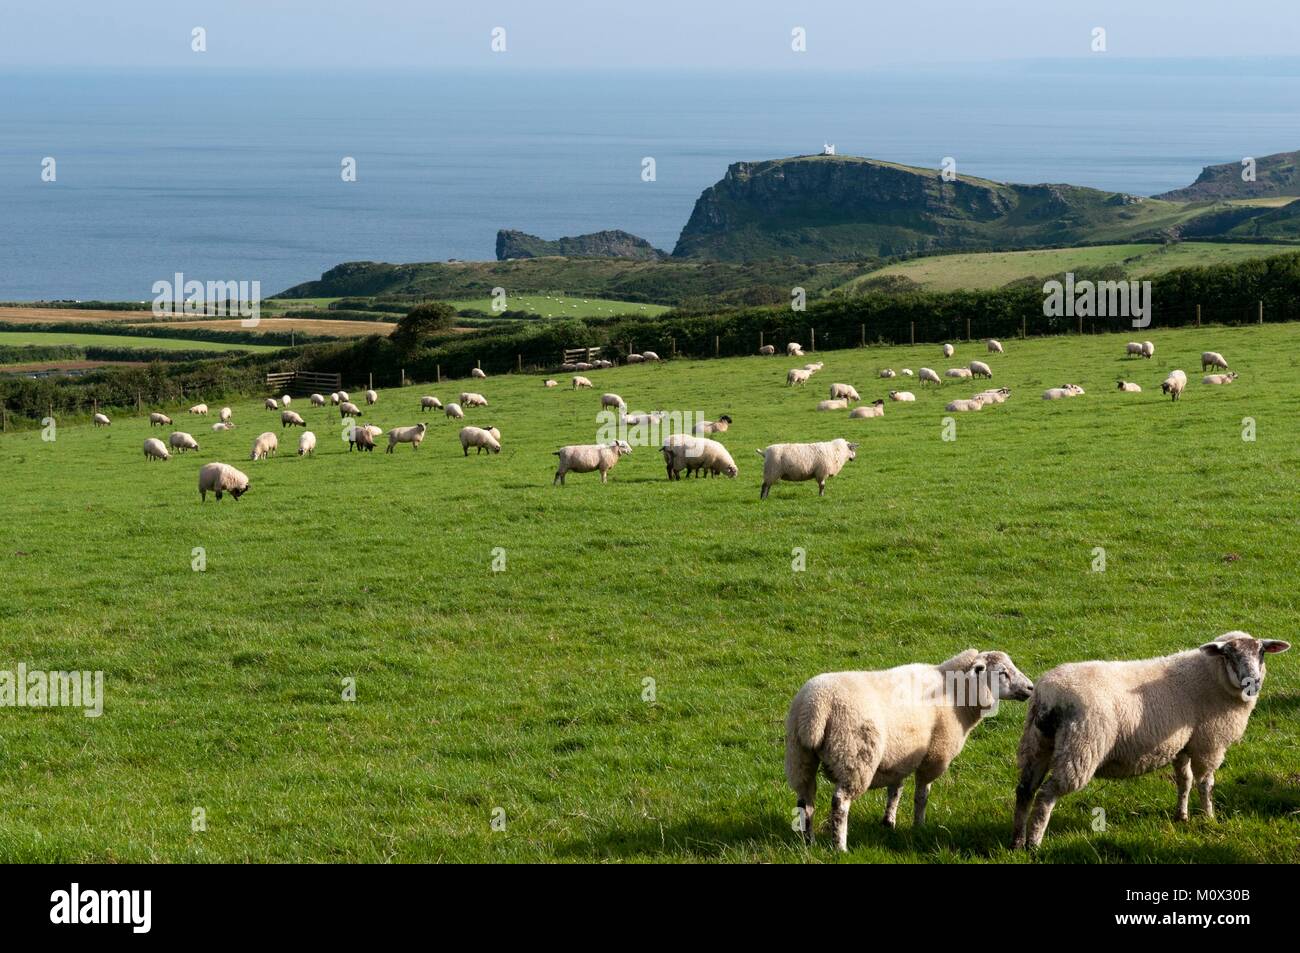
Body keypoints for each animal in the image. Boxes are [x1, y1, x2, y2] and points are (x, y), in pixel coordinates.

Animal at [780, 647, 1034, 847]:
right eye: (1002, 672)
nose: (1031, 688)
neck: (957, 694)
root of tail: (816, 706)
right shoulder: (934, 756)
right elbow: (922, 795)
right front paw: (919, 826)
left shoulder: (900, 756)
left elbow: (895, 791)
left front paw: (888, 822)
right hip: (854, 755)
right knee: (840, 802)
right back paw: (839, 846)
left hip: (799, 755)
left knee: (805, 800)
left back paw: (809, 841)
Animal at [1013, 631, 1289, 847]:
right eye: (1229, 655)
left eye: (1261, 652)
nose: (1253, 682)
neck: (1211, 676)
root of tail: (1048, 695)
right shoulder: (1209, 744)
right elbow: (1205, 784)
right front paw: (1209, 818)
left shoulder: (1182, 744)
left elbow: (1184, 781)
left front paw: (1181, 816)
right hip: (1081, 748)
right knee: (1046, 795)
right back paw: (1034, 844)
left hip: (1037, 743)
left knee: (1025, 790)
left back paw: (1017, 842)